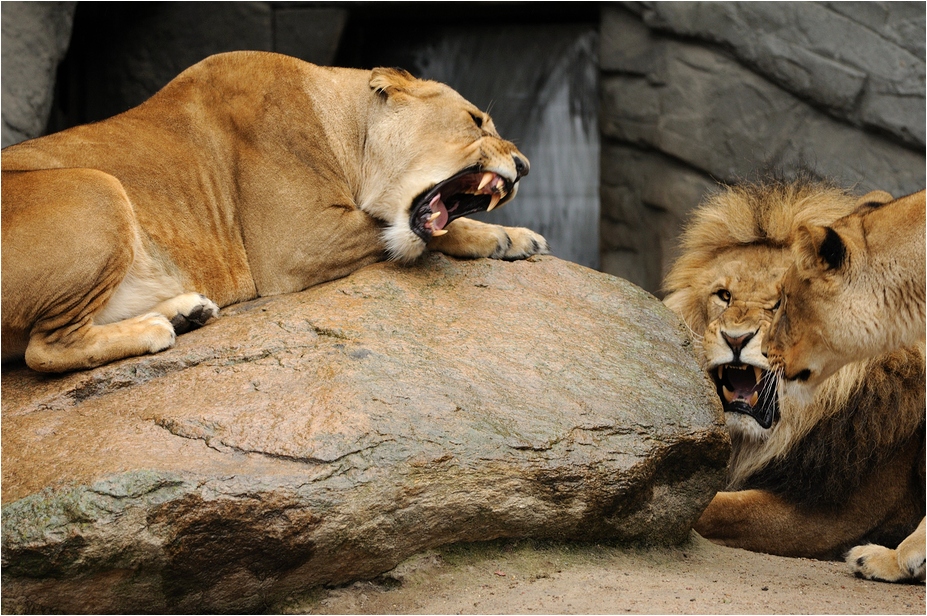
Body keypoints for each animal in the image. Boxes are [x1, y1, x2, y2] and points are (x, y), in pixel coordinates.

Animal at [1, 51, 548, 373]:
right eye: (476, 120)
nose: (524, 165)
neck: (349, 129)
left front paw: (515, 237)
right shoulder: (298, 243)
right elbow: (425, 233)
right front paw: (509, 237)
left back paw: (185, 312)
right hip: (97, 185)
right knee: (43, 351)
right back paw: (157, 329)